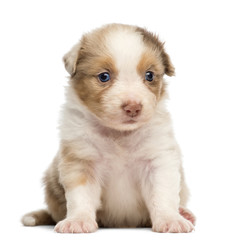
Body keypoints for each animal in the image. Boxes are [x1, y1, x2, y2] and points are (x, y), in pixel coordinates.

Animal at [22, 23, 196, 232]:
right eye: (104, 76)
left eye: (149, 75)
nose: (133, 107)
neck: (119, 134)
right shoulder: (81, 160)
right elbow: (81, 196)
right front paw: (78, 220)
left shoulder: (158, 159)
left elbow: (162, 193)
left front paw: (171, 219)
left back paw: (184, 213)